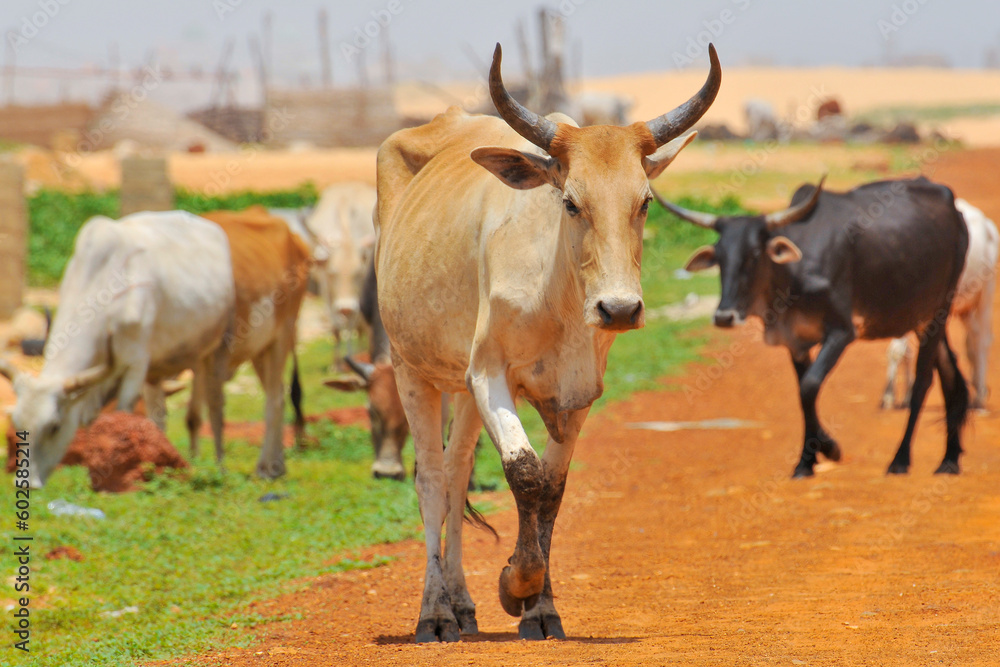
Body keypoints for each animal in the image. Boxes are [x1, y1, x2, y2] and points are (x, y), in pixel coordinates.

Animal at [0, 211, 234, 488]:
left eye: (54, 426)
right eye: (18, 425)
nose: (28, 483)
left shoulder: (136, 363)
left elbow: (123, 413)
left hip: (212, 353)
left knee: (213, 410)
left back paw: (219, 467)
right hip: (163, 369)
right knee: (162, 415)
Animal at [193, 207, 306, 480]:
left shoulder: (217, 352)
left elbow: (215, 407)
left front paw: (219, 467)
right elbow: (192, 414)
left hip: (282, 334)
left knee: (274, 399)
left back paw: (267, 466)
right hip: (260, 350)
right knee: (279, 394)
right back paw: (278, 464)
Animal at [374, 44, 720, 644]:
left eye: (645, 202)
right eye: (571, 202)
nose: (619, 309)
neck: (557, 297)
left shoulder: (577, 393)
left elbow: (552, 491)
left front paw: (541, 608)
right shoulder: (489, 375)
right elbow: (524, 474)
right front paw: (515, 584)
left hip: (460, 384)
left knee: (458, 471)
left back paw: (462, 605)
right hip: (410, 368)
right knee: (433, 480)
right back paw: (436, 613)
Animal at [656, 177, 968, 478]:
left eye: (754, 253)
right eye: (719, 257)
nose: (724, 316)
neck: (793, 277)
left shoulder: (841, 332)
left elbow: (809, 387)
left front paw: (829, 450)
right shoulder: (795, 341)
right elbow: (803, 392)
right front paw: (807, 462)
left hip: (939, 311)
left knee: (923, 382)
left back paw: (901, 460)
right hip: (921, 319)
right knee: (950, 373)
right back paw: (949, 460)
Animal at [884, 196, 1000, 410]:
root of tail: (988, 225)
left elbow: (899, 350)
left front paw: (889, 397)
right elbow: (905, 352)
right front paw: (904, 396)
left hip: (986, 294)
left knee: (983, 340)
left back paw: (979, 398)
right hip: (965, 308)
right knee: (972, 339)